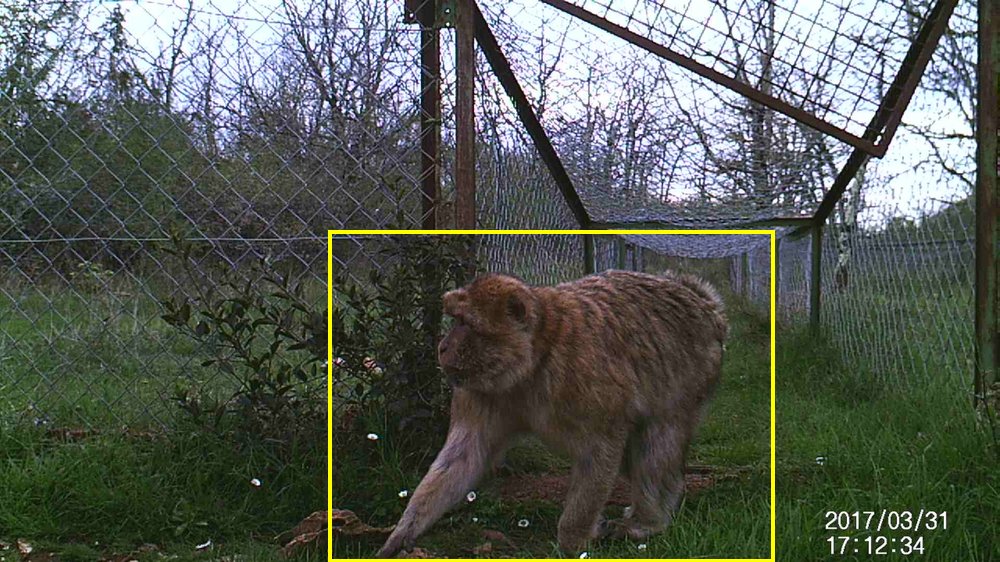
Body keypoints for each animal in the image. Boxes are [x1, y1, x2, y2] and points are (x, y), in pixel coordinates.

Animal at [376, 269, 728, 557]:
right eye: (454, 319)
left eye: (465, 323)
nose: (443, 347)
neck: (533, 360)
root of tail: (703, 303)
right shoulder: (480, 391)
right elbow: (463, 456)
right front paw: (403, 532)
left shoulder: (585, 379)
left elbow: (600, 450)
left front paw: (571, 542)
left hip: (694, 370)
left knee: (657, 440)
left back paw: (648, 521)